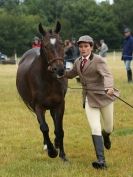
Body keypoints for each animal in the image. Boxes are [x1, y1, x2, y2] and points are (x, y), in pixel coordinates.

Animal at [16, 21, 67, 161]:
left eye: (62, 43)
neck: (49, 80)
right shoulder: (38, 106)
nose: (59, 69)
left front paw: (62, 155)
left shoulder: (60, 104)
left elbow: (59, 129)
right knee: (42, 125)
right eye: (45, 46)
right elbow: (44, 127)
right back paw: (48, 145)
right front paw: (52, 152)